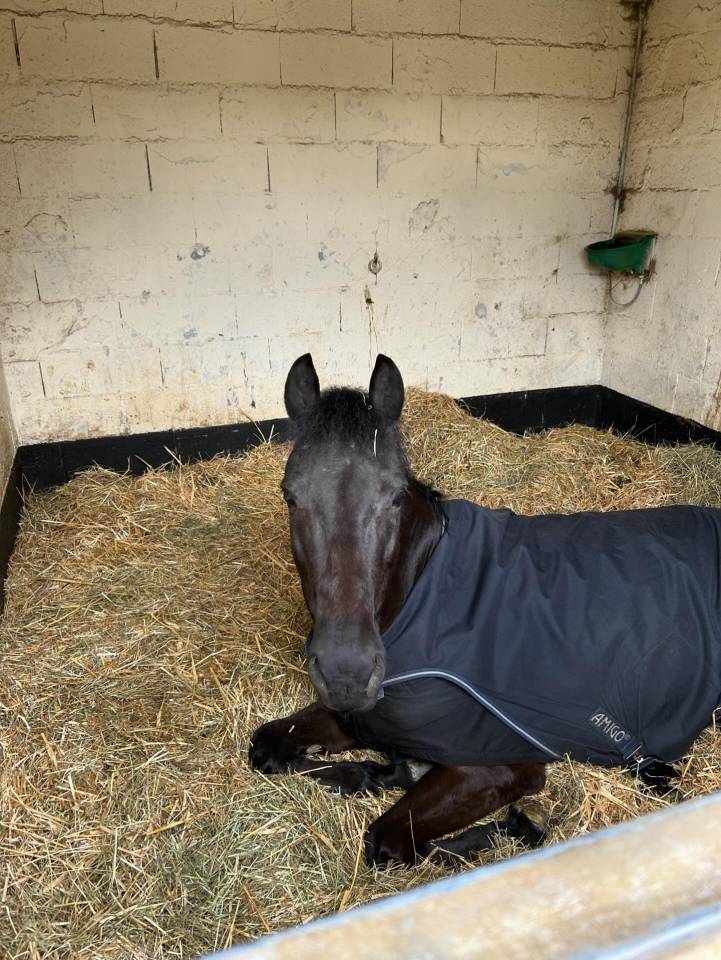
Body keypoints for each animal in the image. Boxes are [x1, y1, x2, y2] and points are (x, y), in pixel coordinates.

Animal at [250, 354, 719, 867]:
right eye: (290, 495)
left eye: (395, 496)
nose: (346, 674)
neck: (424, 598)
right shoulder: (363, 717)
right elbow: (264, 747)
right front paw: (371, 772)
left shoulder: (503, 764)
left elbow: (390, 841)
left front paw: (520, 825)